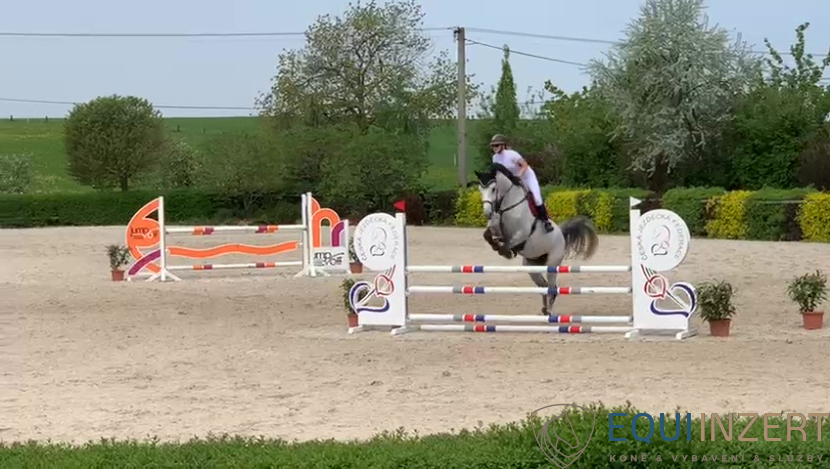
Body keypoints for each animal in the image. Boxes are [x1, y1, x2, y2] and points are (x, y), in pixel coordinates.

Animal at [473, 163, 599, 315]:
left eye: (493, 189)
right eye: (480, 189)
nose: (487, 213)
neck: (508, 205)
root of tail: (562, 235)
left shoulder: (521, 234)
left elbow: (509, 244)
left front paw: (506, 251)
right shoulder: (497, 228)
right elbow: (488, 234)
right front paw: (497, 245)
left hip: (552, 263)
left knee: (552, 288)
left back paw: (550, 312)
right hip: (532, 266)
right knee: (543, 285)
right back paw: (544, 310)